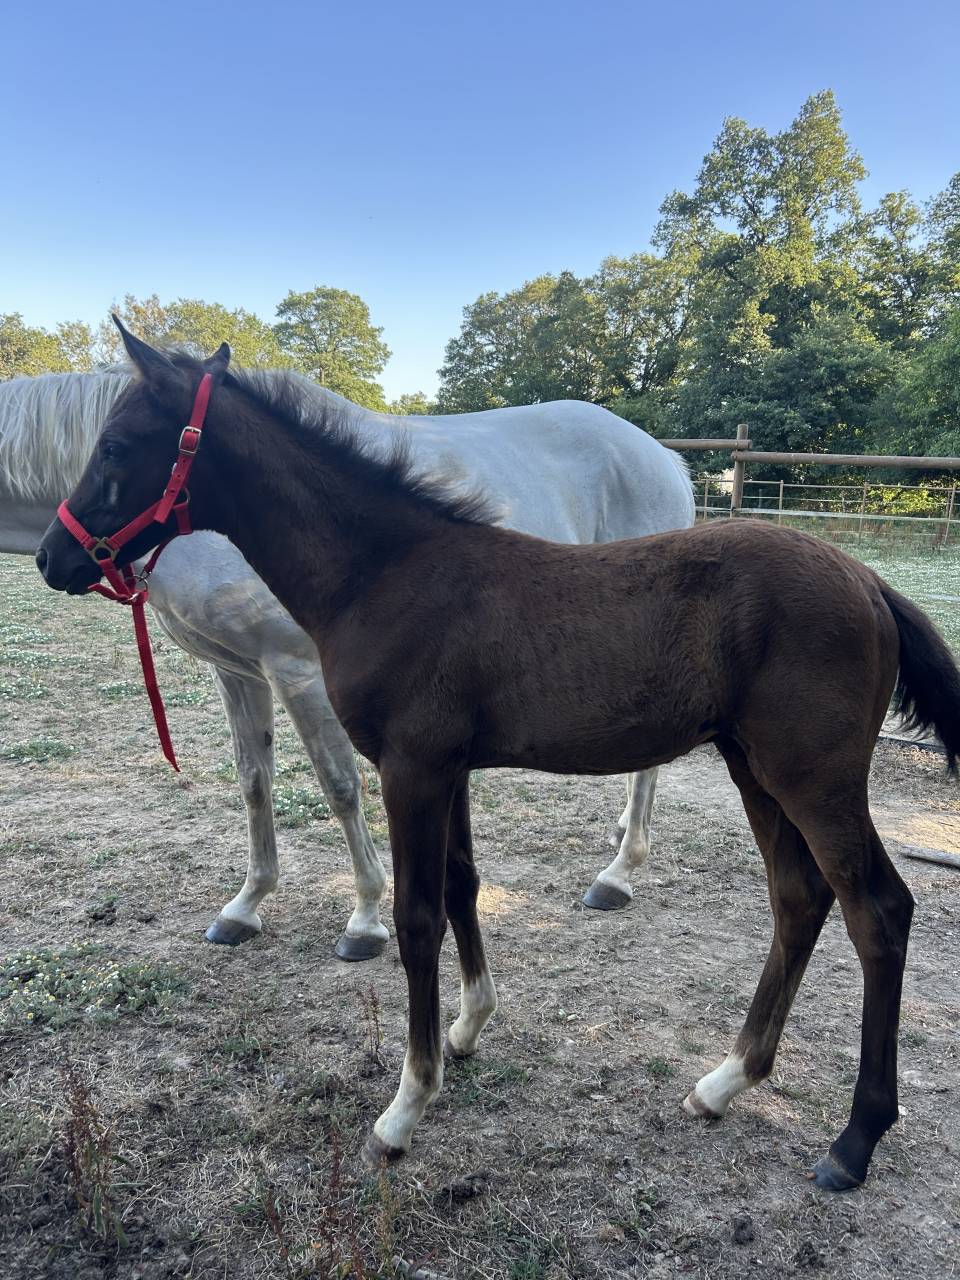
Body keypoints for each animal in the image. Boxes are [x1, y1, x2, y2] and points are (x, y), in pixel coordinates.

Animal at [1, 363, 694, 956]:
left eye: (113, 448)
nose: (52, 558)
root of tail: (662, 458)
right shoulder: (236, 672)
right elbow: (254, 781)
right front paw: (246, 905)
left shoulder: (296, 671)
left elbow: (339, 786)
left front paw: (364, 917)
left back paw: (618, 874)